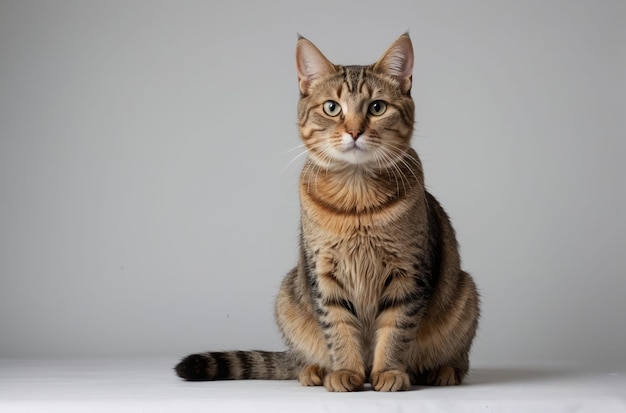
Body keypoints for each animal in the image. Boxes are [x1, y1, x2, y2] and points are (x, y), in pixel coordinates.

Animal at [173, 33, 476, 392]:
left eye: (377, 107)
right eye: (332, 108)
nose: (355, 131)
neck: (357, 200)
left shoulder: (409, 272)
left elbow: (396, 330)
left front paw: (388, 371)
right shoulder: (324, 274)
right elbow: (338, 328)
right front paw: (345, 371)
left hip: (466, 292)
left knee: (460, 357)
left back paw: (443, 370)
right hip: (288, 295)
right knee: (301, 358)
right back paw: (315, 370)